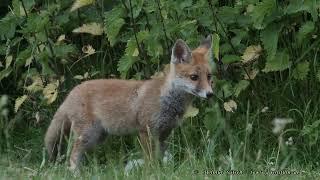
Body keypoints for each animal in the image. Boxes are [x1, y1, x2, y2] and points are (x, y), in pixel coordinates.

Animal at [44, 35, 212, 169]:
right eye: (194, 77)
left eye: (209, 76)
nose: (210, 94)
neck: (167, 101)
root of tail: (71, 92)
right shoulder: (146, 131)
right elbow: (150, 160)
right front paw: (152, 173)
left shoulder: (164, 133)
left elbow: (159, 158)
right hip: (87, 134)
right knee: (72, 154)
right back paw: (76, 173)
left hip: (96, 137)